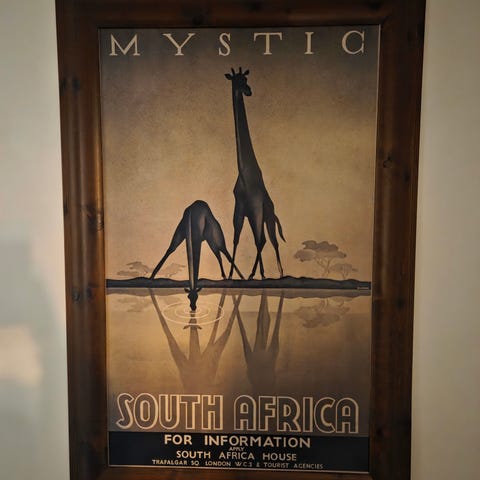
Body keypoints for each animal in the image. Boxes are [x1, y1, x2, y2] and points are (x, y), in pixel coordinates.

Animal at [225, 67, 285, 280]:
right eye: (238, 80)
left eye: (246, 79)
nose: (249, 91)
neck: (244, 172)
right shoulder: (240, 206)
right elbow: (235, 238)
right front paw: (231, 275)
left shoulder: (255, 206)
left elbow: (259, 241)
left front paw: (257, 274)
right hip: (257, 216)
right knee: (263, 240)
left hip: (267, 216)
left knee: (270, 240)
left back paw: (278, 272)